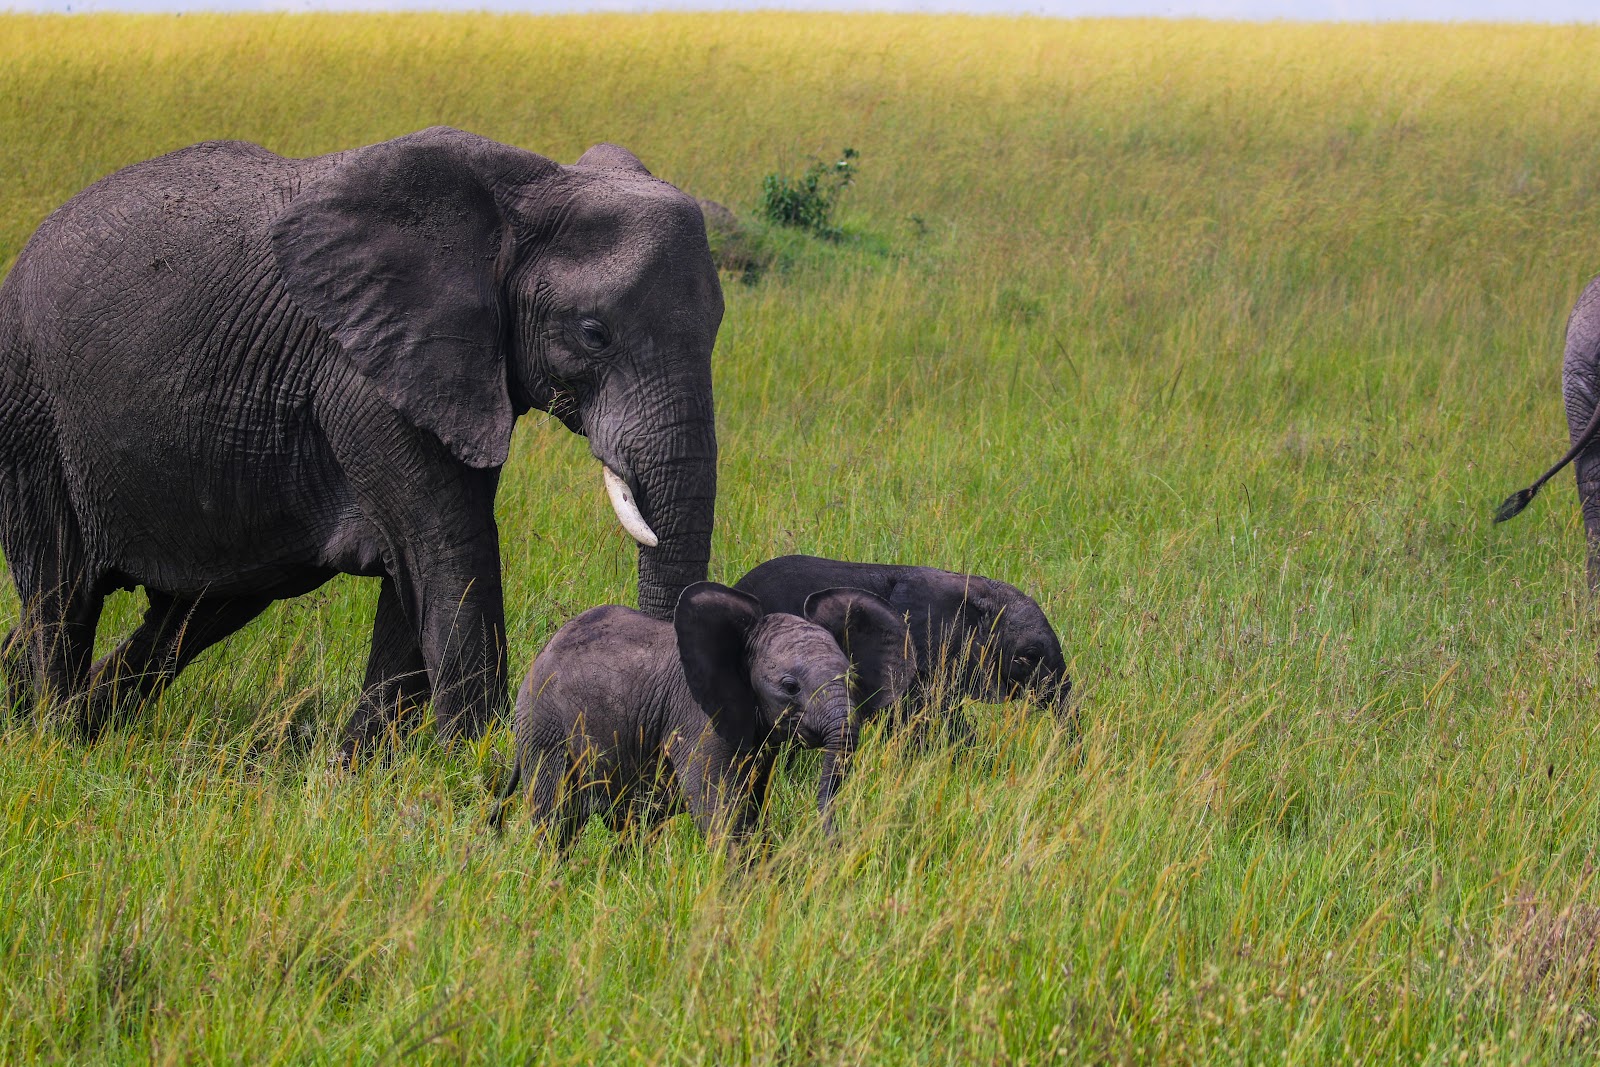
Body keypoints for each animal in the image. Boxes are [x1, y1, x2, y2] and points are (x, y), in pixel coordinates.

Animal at [0, 126, 722, 759]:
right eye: (594, 333)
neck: (528, 189)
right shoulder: (363, 374)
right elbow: (449, 552)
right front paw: (477, 771)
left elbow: (424, 571)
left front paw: (357, 770)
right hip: (30, 404)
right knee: (62, 592)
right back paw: (54, 739)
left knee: (199, 607)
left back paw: (67, 720)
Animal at [491, 581, 914, 844]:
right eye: (790, 686)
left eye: (851, 677)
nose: (833, 844)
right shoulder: (698, 719)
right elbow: (720, 807)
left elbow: (751, 801)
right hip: (544, 725)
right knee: (558, 819)